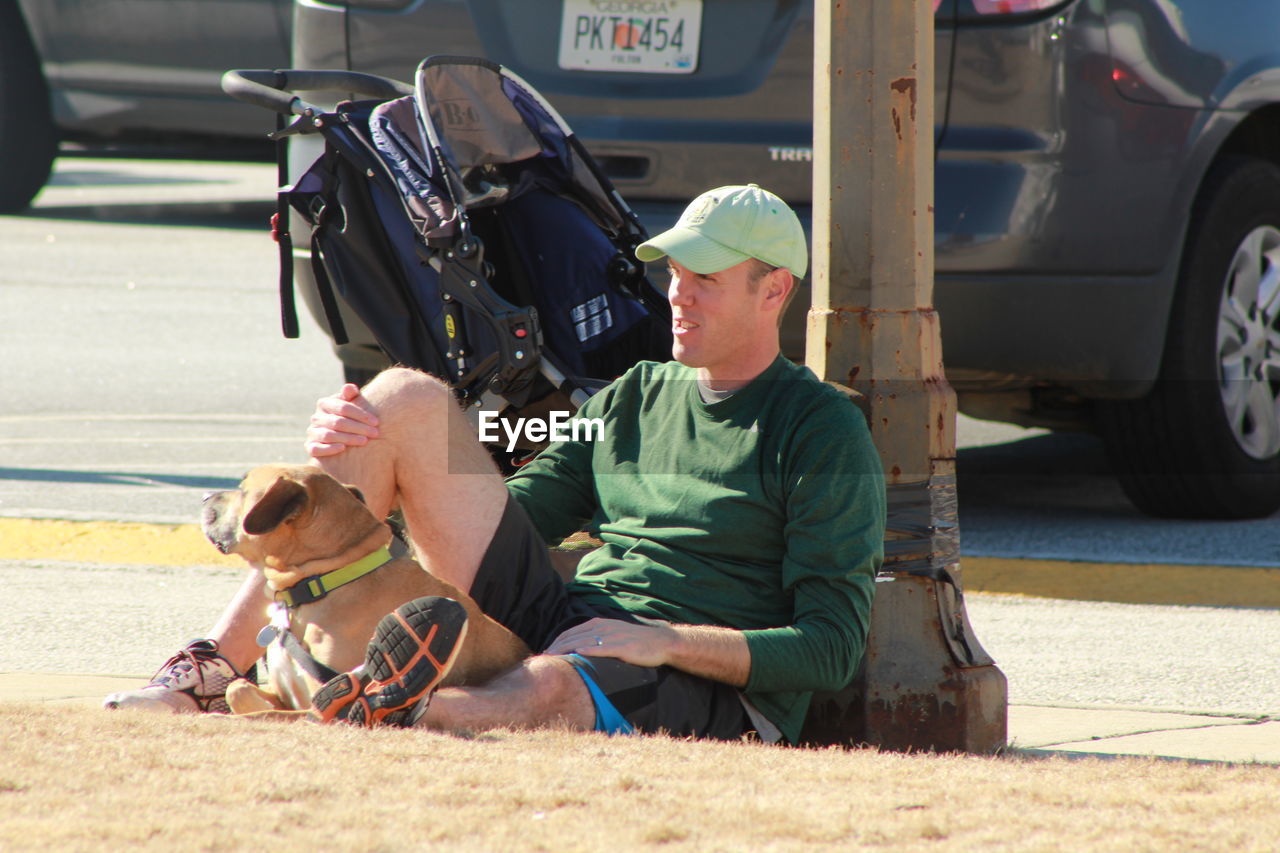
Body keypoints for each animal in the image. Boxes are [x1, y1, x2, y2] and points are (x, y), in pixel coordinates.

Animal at [204, 461, 529, 712]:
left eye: (243, 489)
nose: (205, 495)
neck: (329, 577)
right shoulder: (284, 693)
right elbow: (237, 688)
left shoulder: (323, 699)